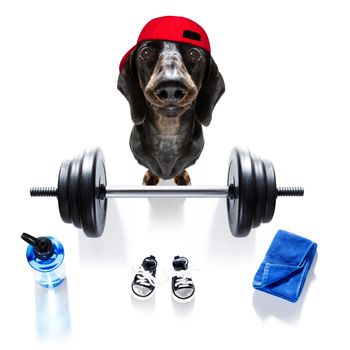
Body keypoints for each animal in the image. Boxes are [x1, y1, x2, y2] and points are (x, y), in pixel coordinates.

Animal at [119, 31, 226, 186]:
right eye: (145, 52)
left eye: (194, 53)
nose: (170, 89)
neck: (168, 134)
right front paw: (150, 176)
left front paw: (182, 176)